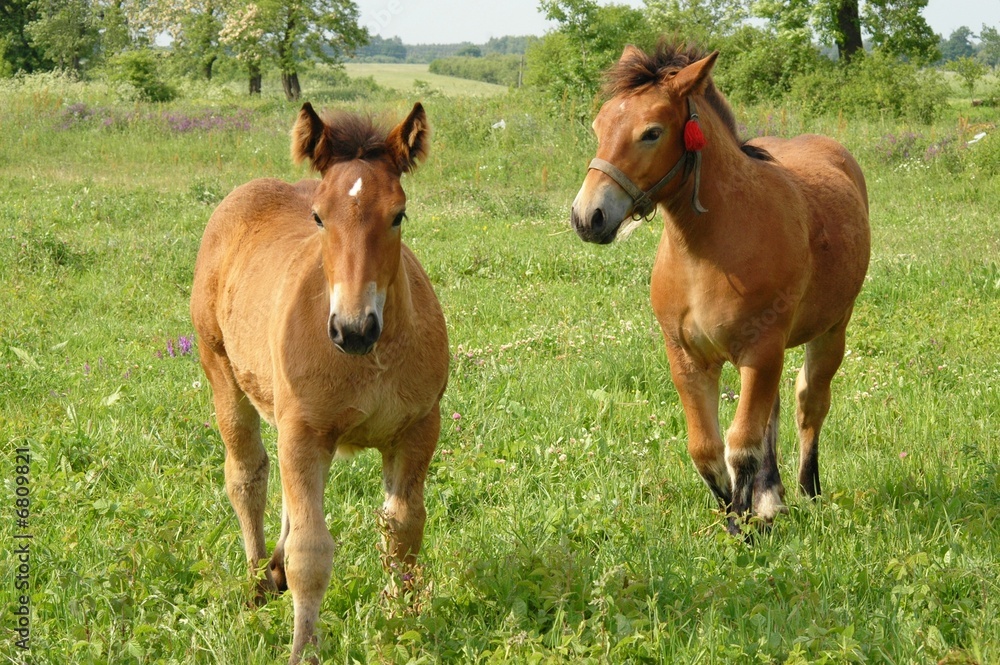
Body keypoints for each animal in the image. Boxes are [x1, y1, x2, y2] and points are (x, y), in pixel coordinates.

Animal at [190, 102, 448, 663]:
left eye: (399, 214)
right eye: (319, 217)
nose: (353, 329)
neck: (370, 361)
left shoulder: (418, 428)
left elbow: (403, 528)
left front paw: (404, 624)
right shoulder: (305, 430)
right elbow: (311, 551)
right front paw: (304, 648)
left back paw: (272, 571)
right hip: (221, 370)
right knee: (247, 474)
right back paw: (256, 581)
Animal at [570, 42, 870, 534]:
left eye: (651, 132)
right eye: (598, 125)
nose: (587, 217)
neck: (707, 252)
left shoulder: (760, 350)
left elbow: (742, 445)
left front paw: (743, 530)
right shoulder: (687, 358)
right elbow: (707, 450)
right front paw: (738, 517)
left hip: (831, 331)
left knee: (810, 403)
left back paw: (807, 491)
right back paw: (773, 497)